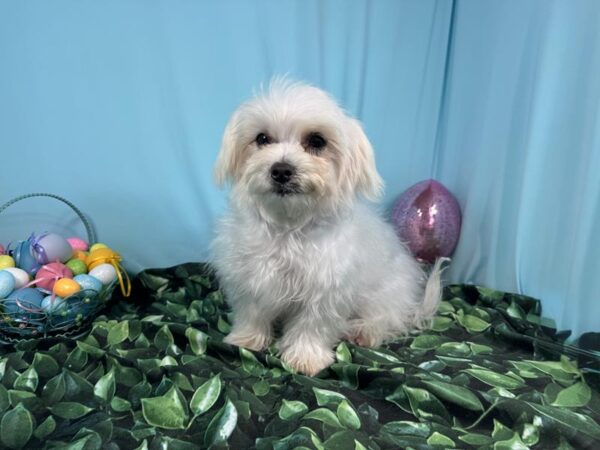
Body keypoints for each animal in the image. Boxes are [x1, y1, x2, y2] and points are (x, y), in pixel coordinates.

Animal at [211, 79, 445, 376]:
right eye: (262, 139)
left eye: (317, 141)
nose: (281, 170)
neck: (289, 226)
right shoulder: (251, 278)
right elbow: (252, 313)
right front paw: (246, 339)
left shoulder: (326, 291)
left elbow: (312, 326)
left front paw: (305, 358)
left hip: (386, 293)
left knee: (388, 318)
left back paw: (364, 330)